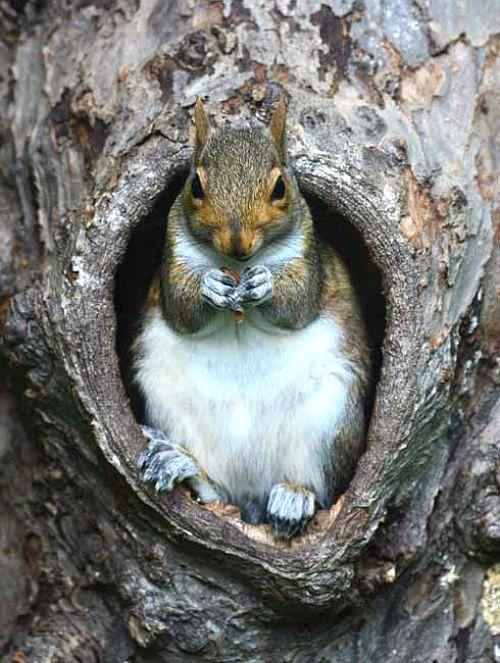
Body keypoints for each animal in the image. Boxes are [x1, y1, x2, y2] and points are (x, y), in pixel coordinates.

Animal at [133, 98, 371, 540]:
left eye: (280, 188)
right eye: (196, 187)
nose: (237, 242)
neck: (237, 266)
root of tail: (252, 494)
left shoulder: (309, 261)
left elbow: (297, 304)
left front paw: (266, 285)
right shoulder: (172, 262)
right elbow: (182, 308)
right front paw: (210, 286)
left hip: (330, 425)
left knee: (318, 489)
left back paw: (293, 498)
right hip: (168, 406)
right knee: (216, 496)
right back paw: (182, 466)